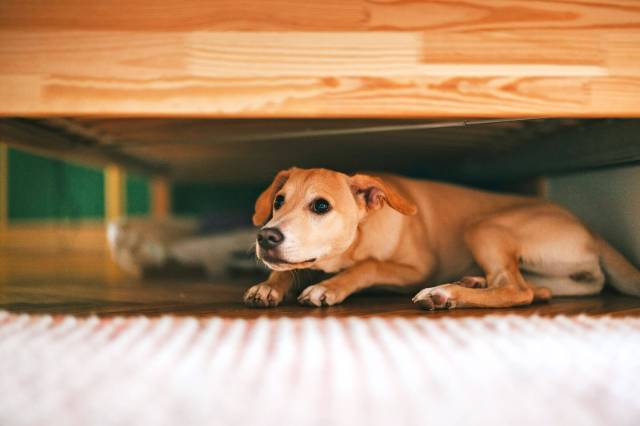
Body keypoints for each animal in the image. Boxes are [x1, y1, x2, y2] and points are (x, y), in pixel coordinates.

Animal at [244, 166, 640, 310]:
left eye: (321, 206)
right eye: (278, 201)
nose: (266, 237)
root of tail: (590, 230)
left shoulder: (416, 268)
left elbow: (369, 266)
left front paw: (329, 287)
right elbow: (290, 268)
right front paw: (269, 286)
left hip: (484, 227)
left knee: (517, 290)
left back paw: (445, 293)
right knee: (533, 289)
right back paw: (471, 282)